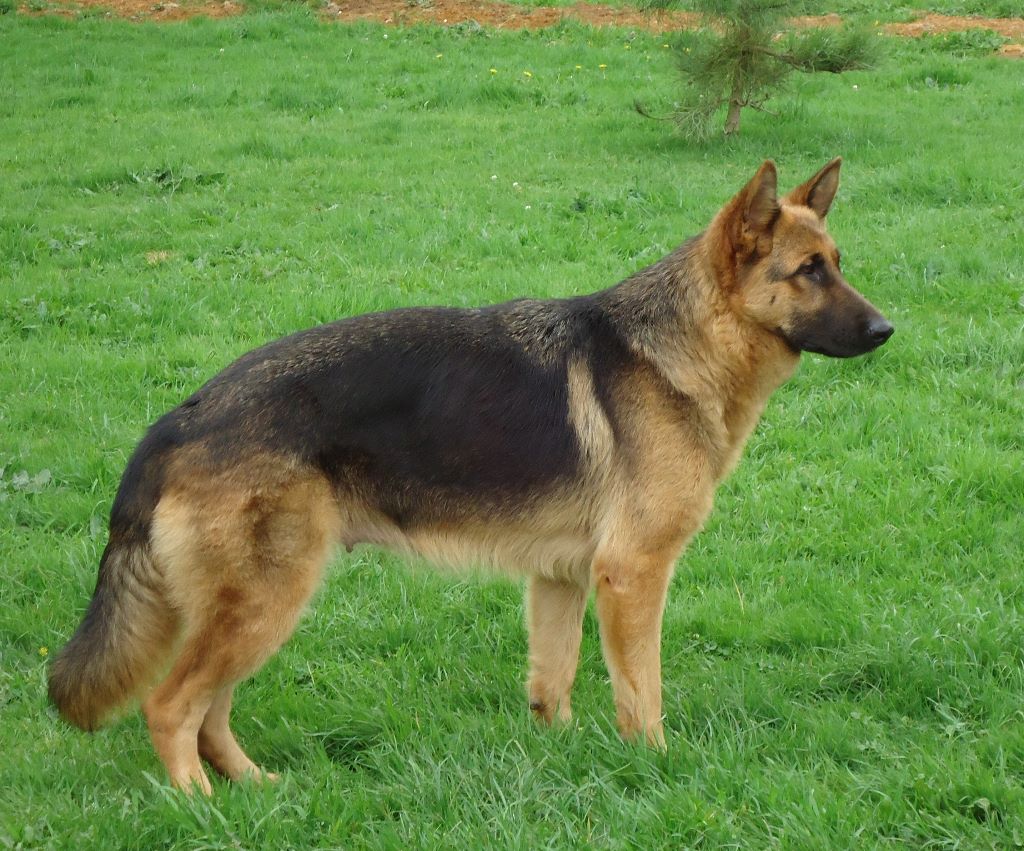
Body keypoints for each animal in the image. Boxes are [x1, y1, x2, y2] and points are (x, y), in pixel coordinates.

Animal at [51, 159, 892, 790]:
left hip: (257, 605)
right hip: (264, 601)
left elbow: (552, 684)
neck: (675, 349)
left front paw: (566, 759)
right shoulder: (633, 573)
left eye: (839, 265)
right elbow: (642, 693)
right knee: (171, 706)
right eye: (808, 271)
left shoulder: (561, 578)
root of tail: (179, 419)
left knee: (211, 711)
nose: (887, 329)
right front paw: (655, 765)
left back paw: (257, 787)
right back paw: (198, 803)